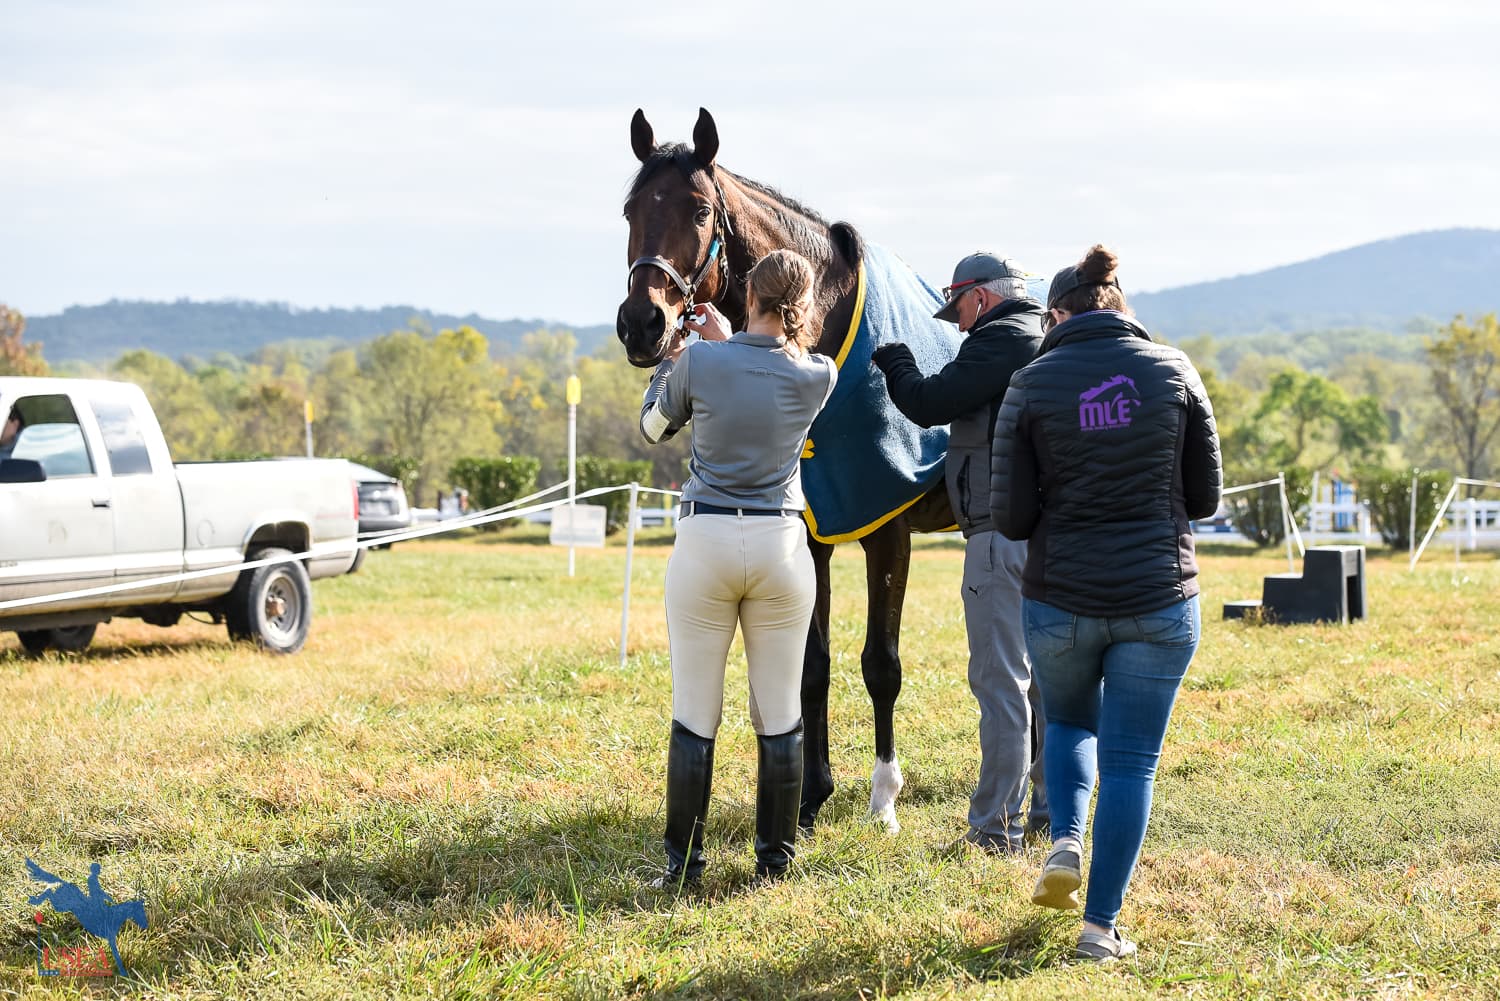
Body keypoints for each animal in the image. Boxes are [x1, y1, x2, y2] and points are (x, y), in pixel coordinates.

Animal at [616, 108, 957, 831]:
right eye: (630, 209)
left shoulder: (888, 531)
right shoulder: (811, 532)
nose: (642, 323)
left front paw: (883, 798)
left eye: (697, 209)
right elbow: (812, 664)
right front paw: (810, 796)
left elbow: (880, 663)